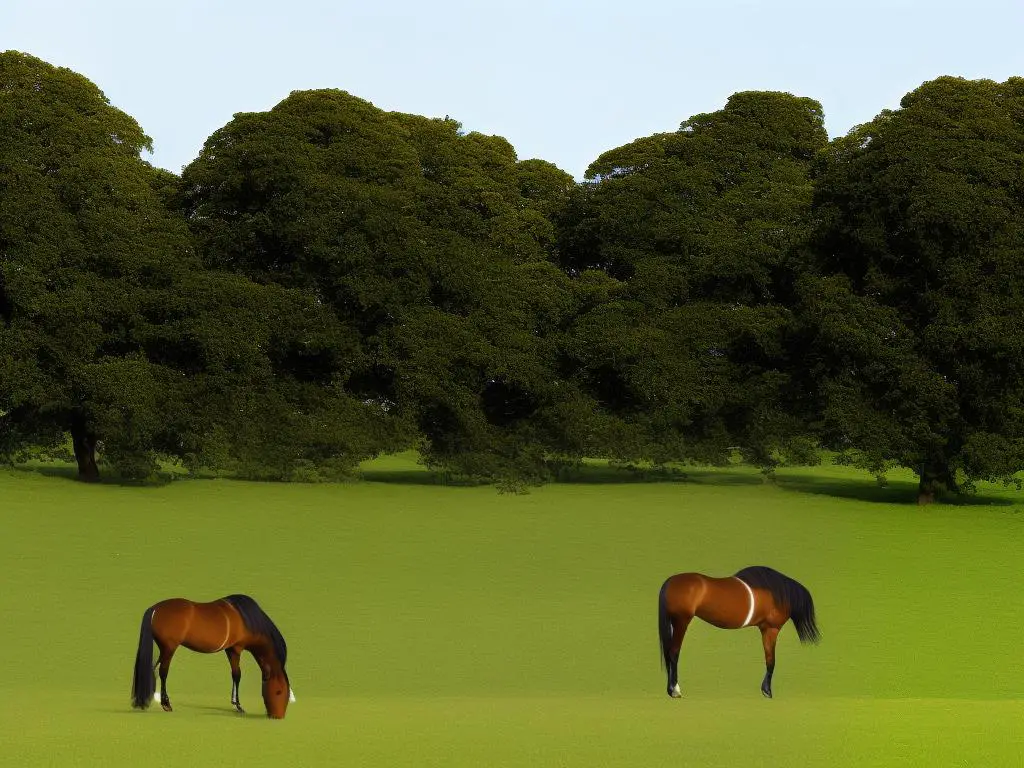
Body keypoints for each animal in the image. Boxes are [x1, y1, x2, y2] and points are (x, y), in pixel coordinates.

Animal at [131, 598, 292, 720]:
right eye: (279, 692)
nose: (278, 716)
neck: (247, 619)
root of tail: (155, 608)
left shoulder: (230, 649)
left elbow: (234, 674)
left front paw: (235, 703)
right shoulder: (236, 648)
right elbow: (238, 675)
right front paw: (239, 706)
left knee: (153, 669)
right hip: (169, 648)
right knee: (162, 672)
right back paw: (165, 704)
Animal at [659, 569, 819, 700]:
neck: (778, 593)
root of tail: (669, 582)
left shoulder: (765, 629)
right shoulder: (771, 629)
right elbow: (771, 661)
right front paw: (767, 691)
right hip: (681, 621)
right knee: (674, 653)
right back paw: (675, 691)